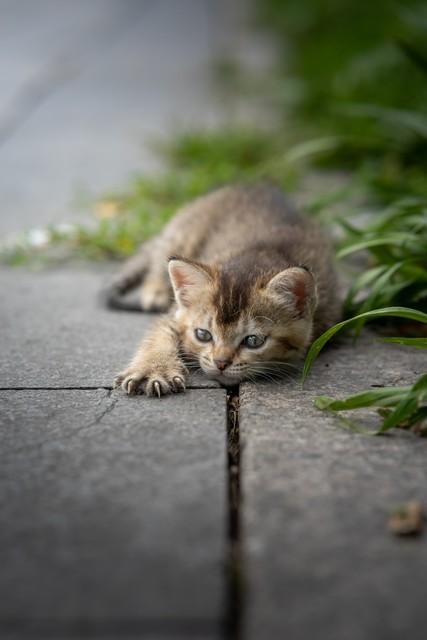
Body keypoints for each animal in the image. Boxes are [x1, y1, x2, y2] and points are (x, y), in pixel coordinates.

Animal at [109, 184, 342, 396]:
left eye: (253, 341)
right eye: (203, 334)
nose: (220, 363)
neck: (258, 258)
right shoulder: (174, 314)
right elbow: (159, 333)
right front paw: (153, 368)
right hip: (181, 235)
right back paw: (155, 290)